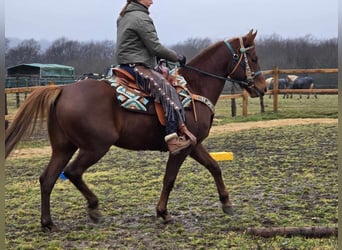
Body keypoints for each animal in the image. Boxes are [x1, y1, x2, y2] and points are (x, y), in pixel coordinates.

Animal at [5, 30, 268, 231]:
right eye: (254, 57)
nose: (262, 87)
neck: (195, 86)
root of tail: (62, 90)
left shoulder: (193, 144)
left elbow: (214, 167)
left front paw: (226, 203)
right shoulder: (181, 148)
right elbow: (169, 179)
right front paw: (163, 213)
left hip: (63, 147)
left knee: (47, 178)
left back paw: (48, 222)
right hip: (95, 147)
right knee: (72, 172)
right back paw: (94, 208)